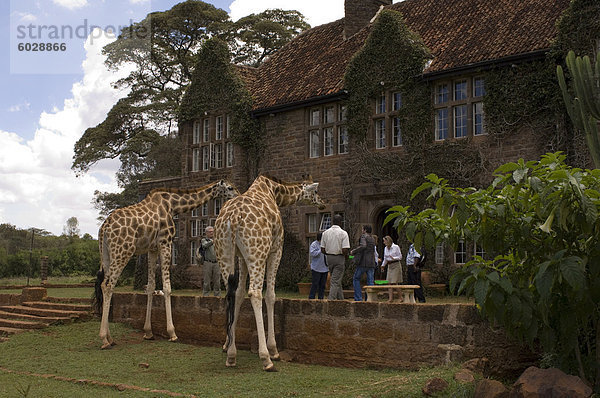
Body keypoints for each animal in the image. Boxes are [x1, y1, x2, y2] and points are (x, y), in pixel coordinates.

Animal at [94, 180, 237, 348]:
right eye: (230, 188)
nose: (238, 195)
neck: (172, 205)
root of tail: (104, 228)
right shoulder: (165, 242)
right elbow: (167, 288)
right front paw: (172, 333)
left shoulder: (152, 249)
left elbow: (150, 287)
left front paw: (148, 332)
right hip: (122, 251)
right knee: (108, 285)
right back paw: (104, 339)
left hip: (106, 254)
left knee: (104, 284)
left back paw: (110, 338)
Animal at [211, 176, 324, 372]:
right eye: (316, 191)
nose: (323, 204)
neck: (273, 191)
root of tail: (233, 218)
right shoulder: (276, 249)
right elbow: (270, 295)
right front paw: (274, 350)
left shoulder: (241, 257)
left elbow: (238, 294)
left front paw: (228, 346)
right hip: (258, 253)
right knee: (255, 293)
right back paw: (266, 359)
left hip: (224, 253)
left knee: (230, 294)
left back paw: (231, 355)